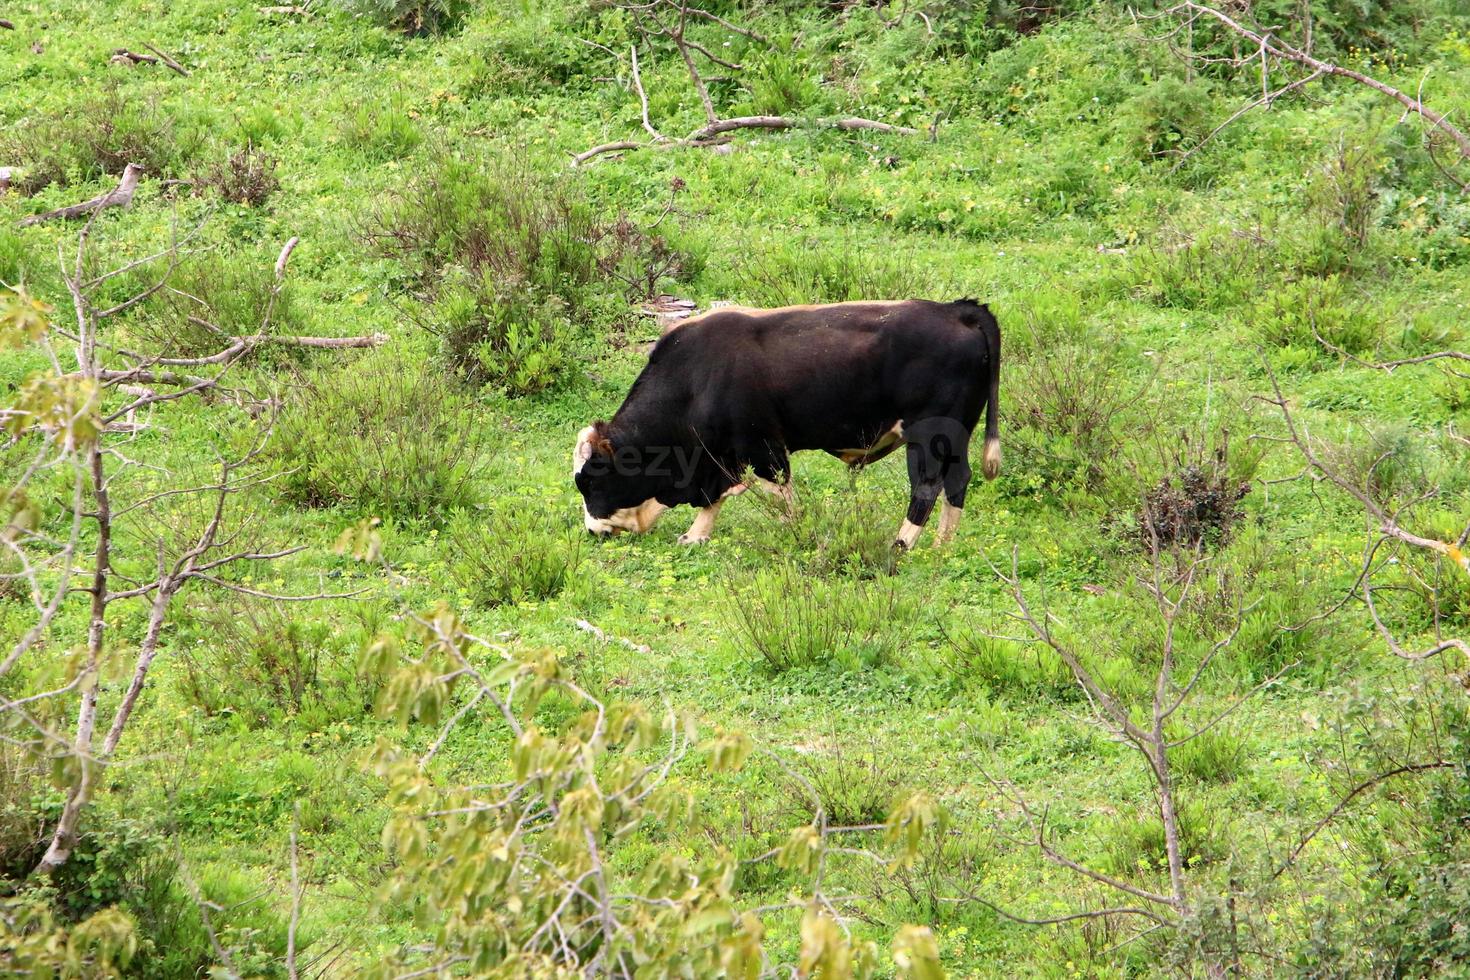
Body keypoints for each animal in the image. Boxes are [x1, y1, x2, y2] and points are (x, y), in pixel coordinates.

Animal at [570, 299, 999, 549]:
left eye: (589, 480)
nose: (592, 530)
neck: (695, 378)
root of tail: (957, 310)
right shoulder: (720, 457)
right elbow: (714, 498)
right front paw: (695, 535)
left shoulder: (763, 450)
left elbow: (780, 498)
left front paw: (793, 535)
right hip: (957, 438)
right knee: (957, 482)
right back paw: (943, 546)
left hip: (929, 437)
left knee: (926, 487)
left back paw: (901, 546)